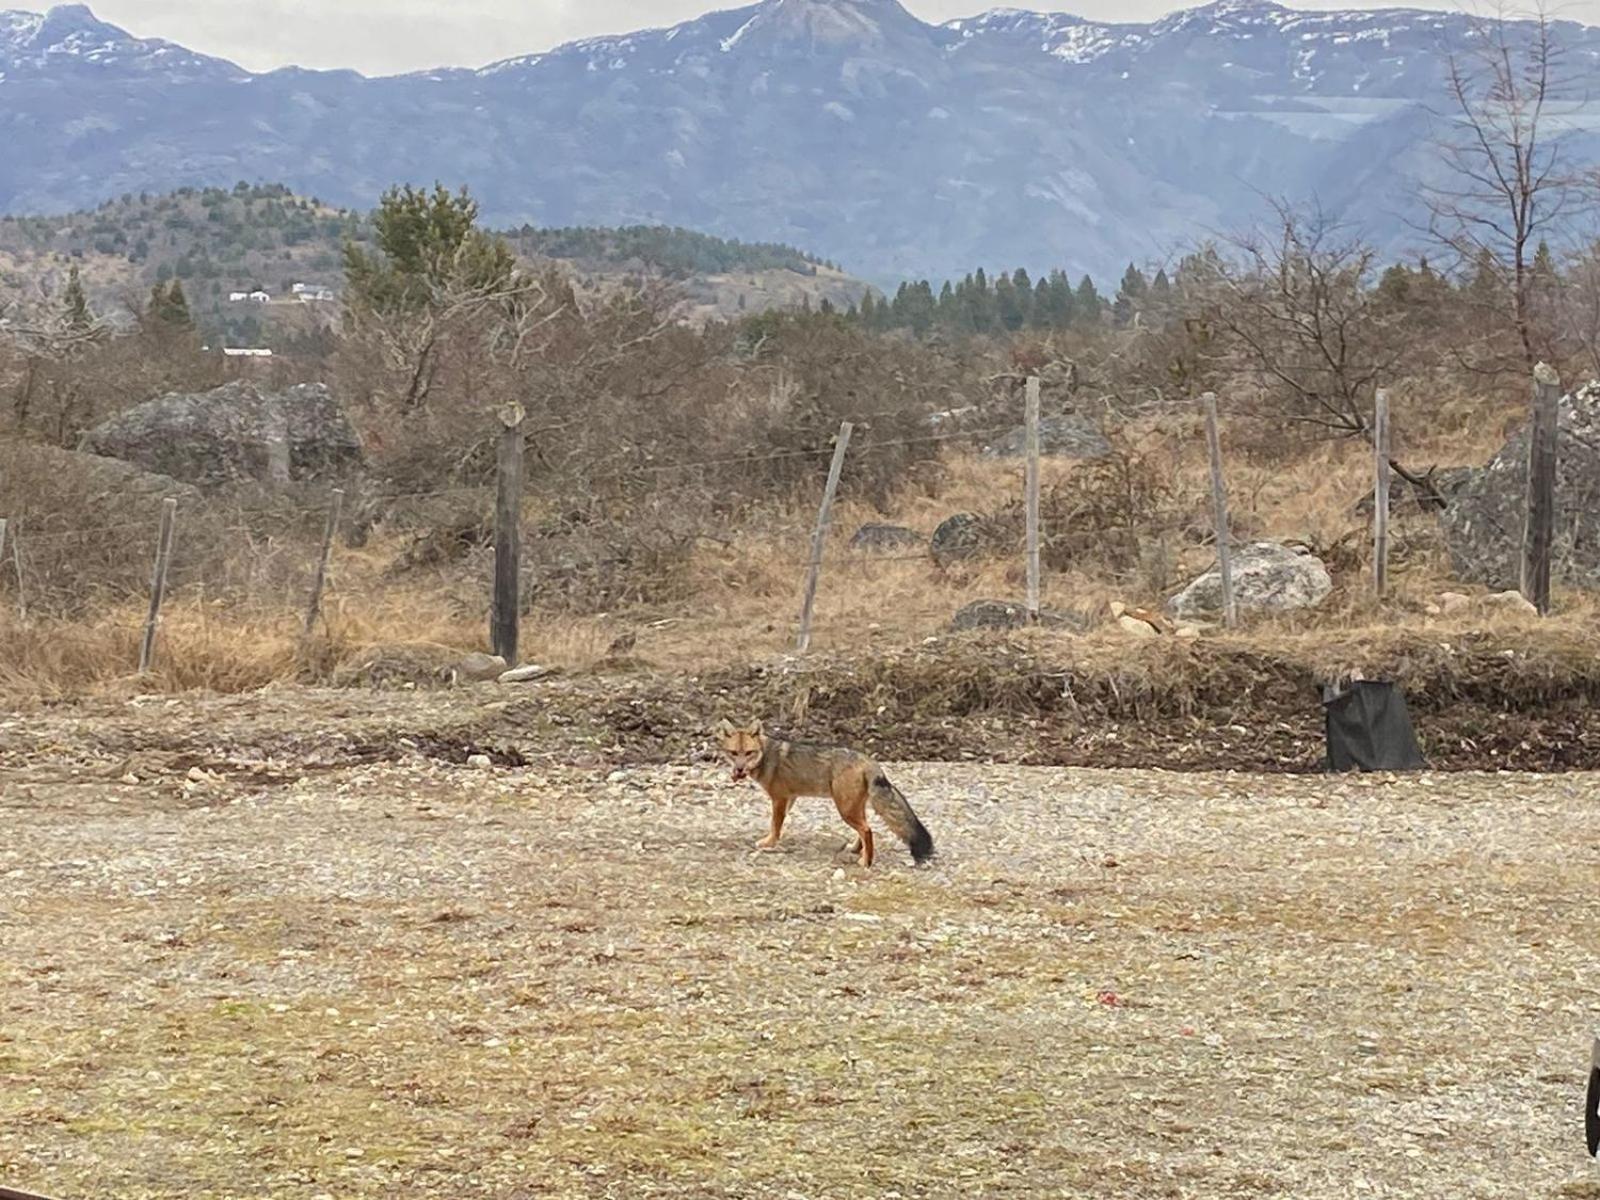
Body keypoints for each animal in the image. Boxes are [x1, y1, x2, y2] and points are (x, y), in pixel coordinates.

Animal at [716, 720, 934, 870]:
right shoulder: (790, 798)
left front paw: (769, 843)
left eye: (749, 753)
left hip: (845, 809)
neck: (766, 755)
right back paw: (856, 850)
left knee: (867, 830)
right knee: (866, 829)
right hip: (853, 808)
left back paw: (866, 861)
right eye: (734, 753)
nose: (739, 769)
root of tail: (868, 760)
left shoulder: (779, 798)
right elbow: (778, 823)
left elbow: (775, 825)